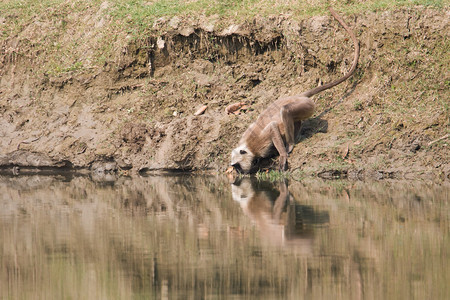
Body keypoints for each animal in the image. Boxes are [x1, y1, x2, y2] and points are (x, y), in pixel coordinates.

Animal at [230, 7, 360, 173]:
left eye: (237, 166)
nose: (238, 172)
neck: (248, 147)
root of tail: (299, 95)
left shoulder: (258, 143)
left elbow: (272, 128)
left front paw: (282, 155)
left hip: (307, 105)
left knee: (285, 110)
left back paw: (290, 144)